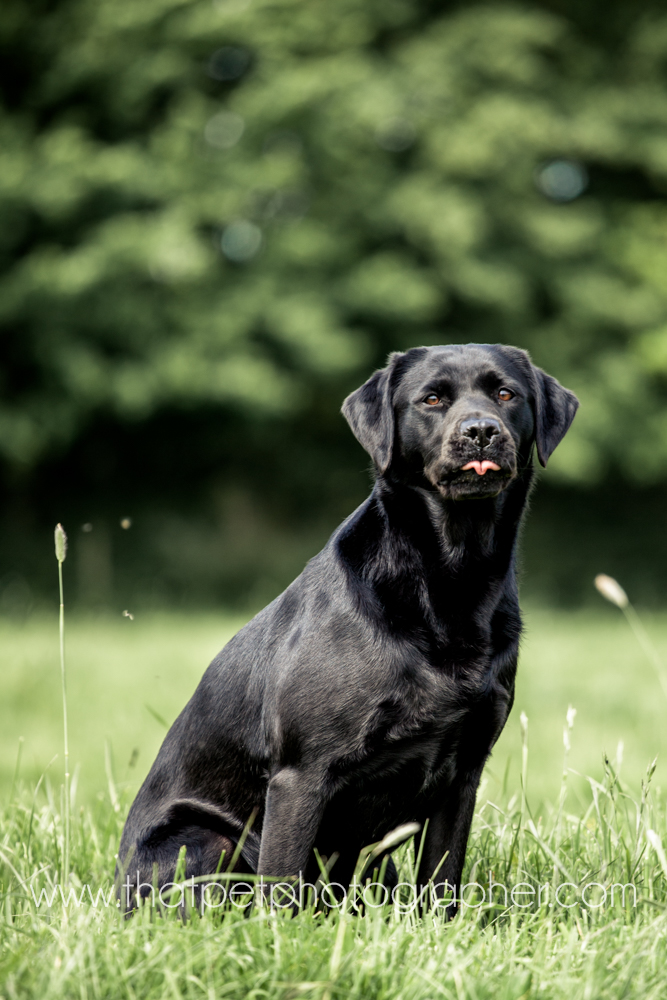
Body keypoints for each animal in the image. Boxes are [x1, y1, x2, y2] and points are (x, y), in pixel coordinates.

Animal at [117, 343, 578, 913]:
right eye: (432, 399)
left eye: (506, 394)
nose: (480, 430)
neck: (449, 579)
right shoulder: (300, 775)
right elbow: (281, 889)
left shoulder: (463, 774)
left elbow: (441, 881)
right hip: (209, 839)